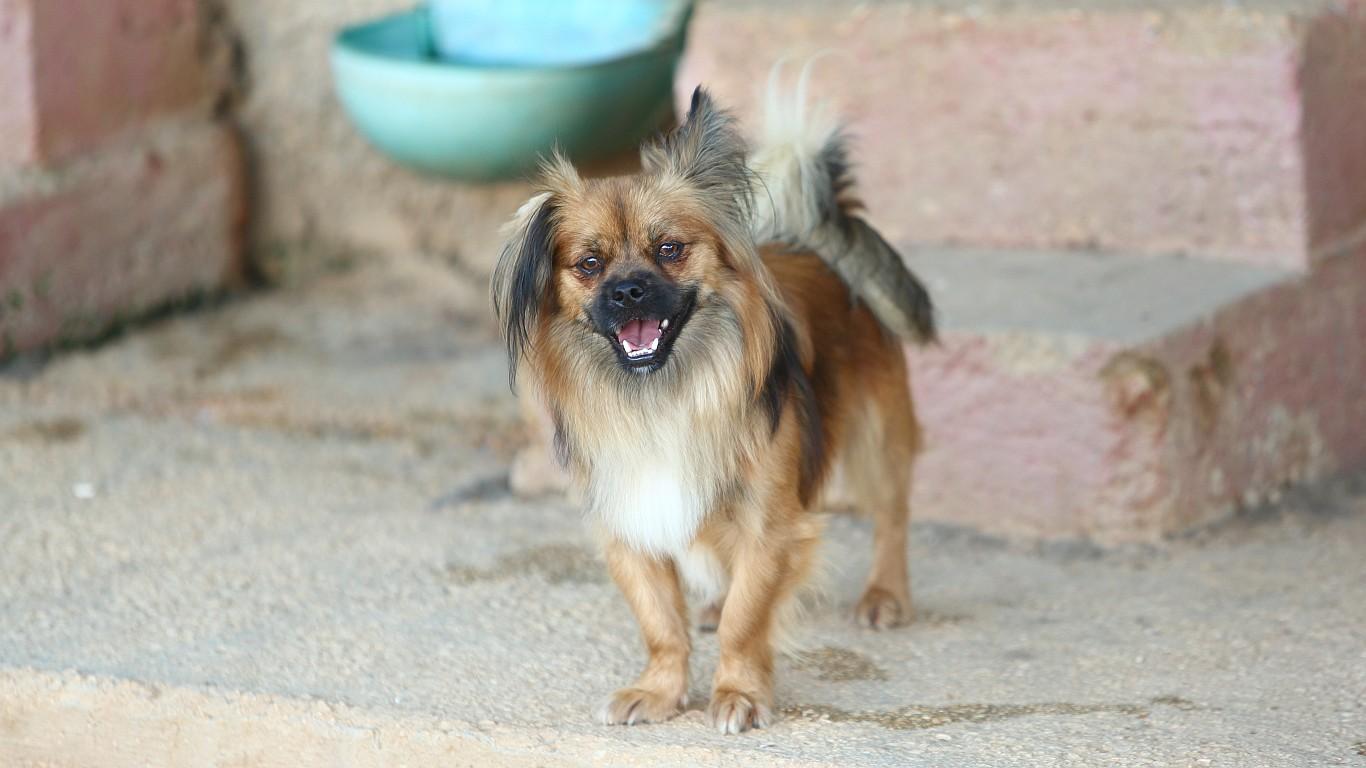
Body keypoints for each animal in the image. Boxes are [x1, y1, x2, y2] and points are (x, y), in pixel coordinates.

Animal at [491, 82, 935, 734]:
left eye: (670, 249)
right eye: (589, 264)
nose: (628, 291)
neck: (665, 393)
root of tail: (814, 241)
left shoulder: (768, 523)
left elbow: (746, 621)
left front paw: (739, 693)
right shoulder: (632, 517)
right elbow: (661, 624)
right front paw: (660, 690)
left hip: (876, 442)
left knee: (893, 517)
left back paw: (886, 595)